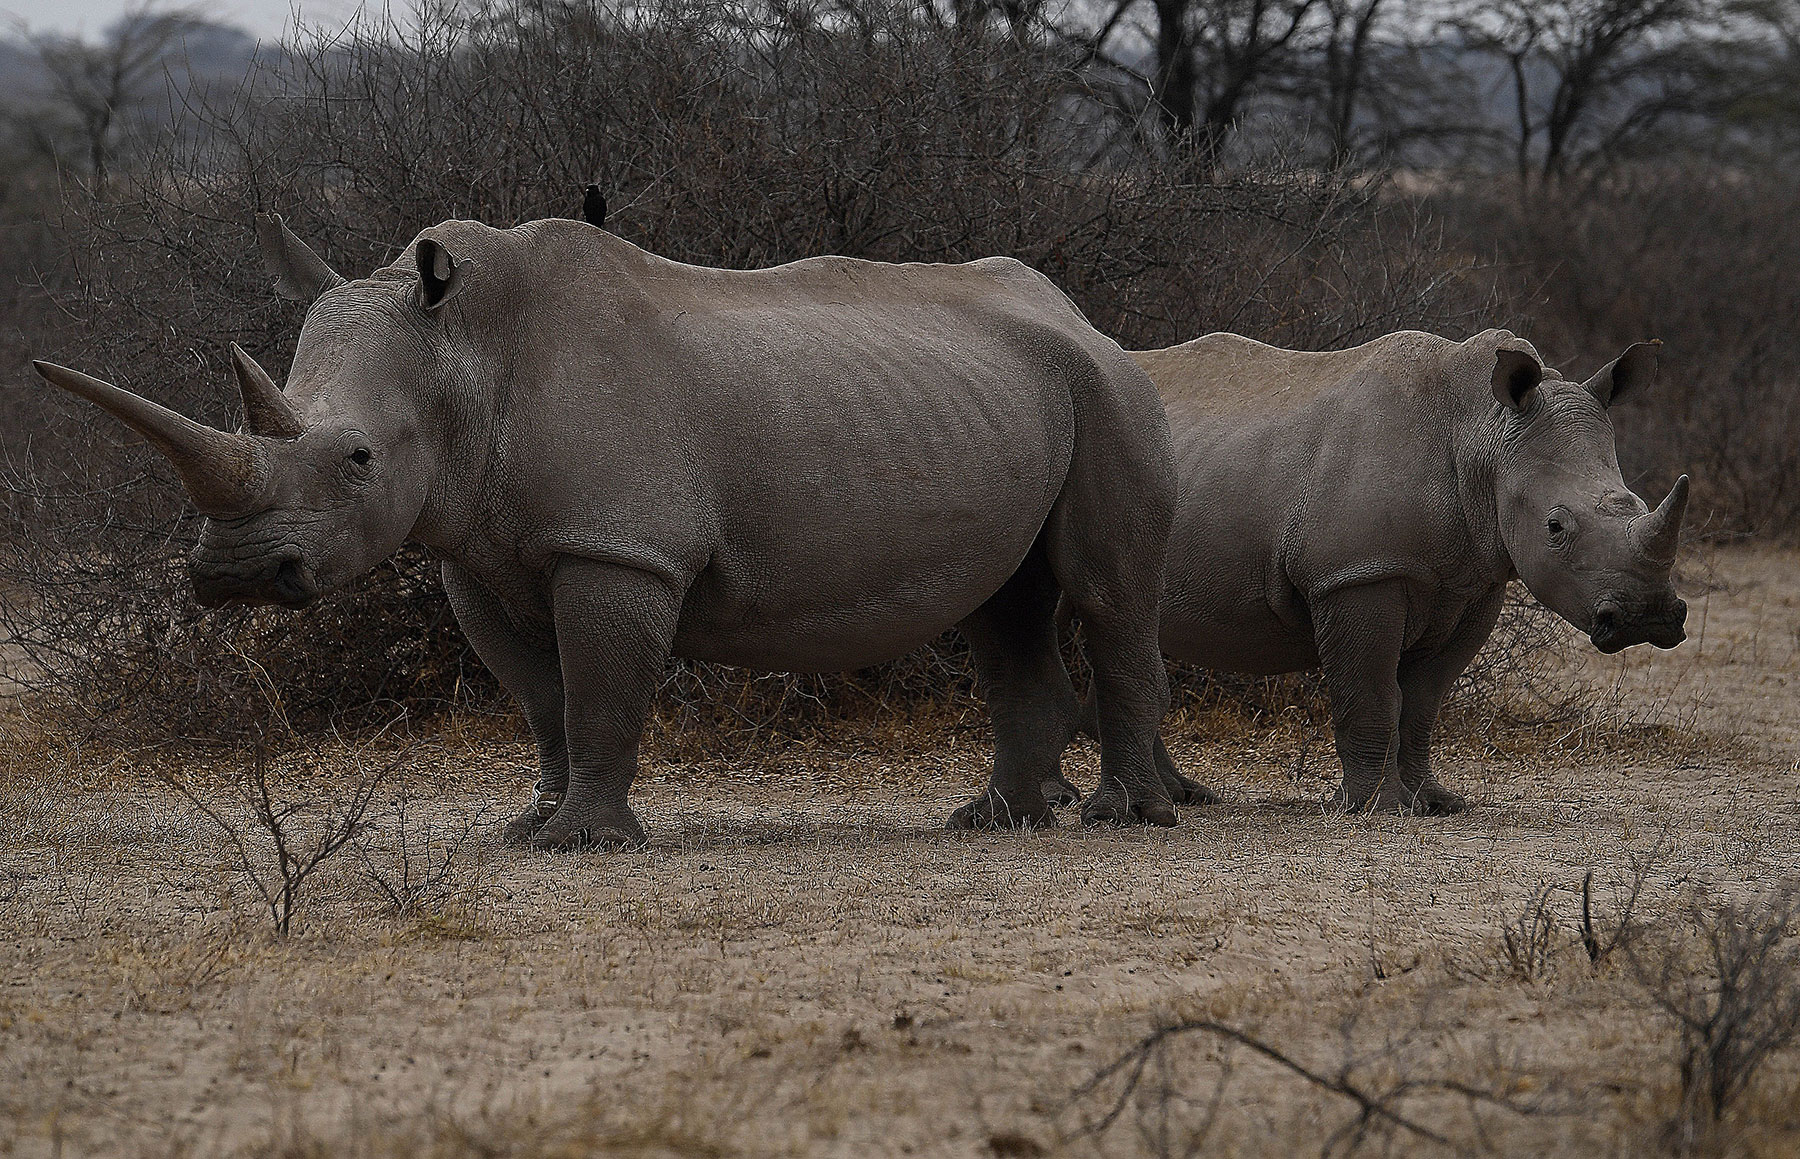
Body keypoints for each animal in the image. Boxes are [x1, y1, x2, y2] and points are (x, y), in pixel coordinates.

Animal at [33, 214, 1185, 848]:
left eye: (357, 459)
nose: (232, 574)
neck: (464, 355)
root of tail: (1083, 316)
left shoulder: (616, 546)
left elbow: (597, 687)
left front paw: (583, 843)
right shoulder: (480, 552)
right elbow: (541, 695)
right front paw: (529, 826)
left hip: (1114, 389)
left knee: (1107, 592)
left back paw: (1122, 817)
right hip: (1008, 397)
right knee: (1003, 602)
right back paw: (996, 820)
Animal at [1063, 328, 1690, 814]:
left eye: (1636, 502)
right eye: (1556, 527)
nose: (1649, 617)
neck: (1482, 434)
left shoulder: (1474, 582)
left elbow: (1423, 702)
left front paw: (1435, 803)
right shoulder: (1358, 575)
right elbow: (1373, 692)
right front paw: (1378, 807)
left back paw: (1187, 796)